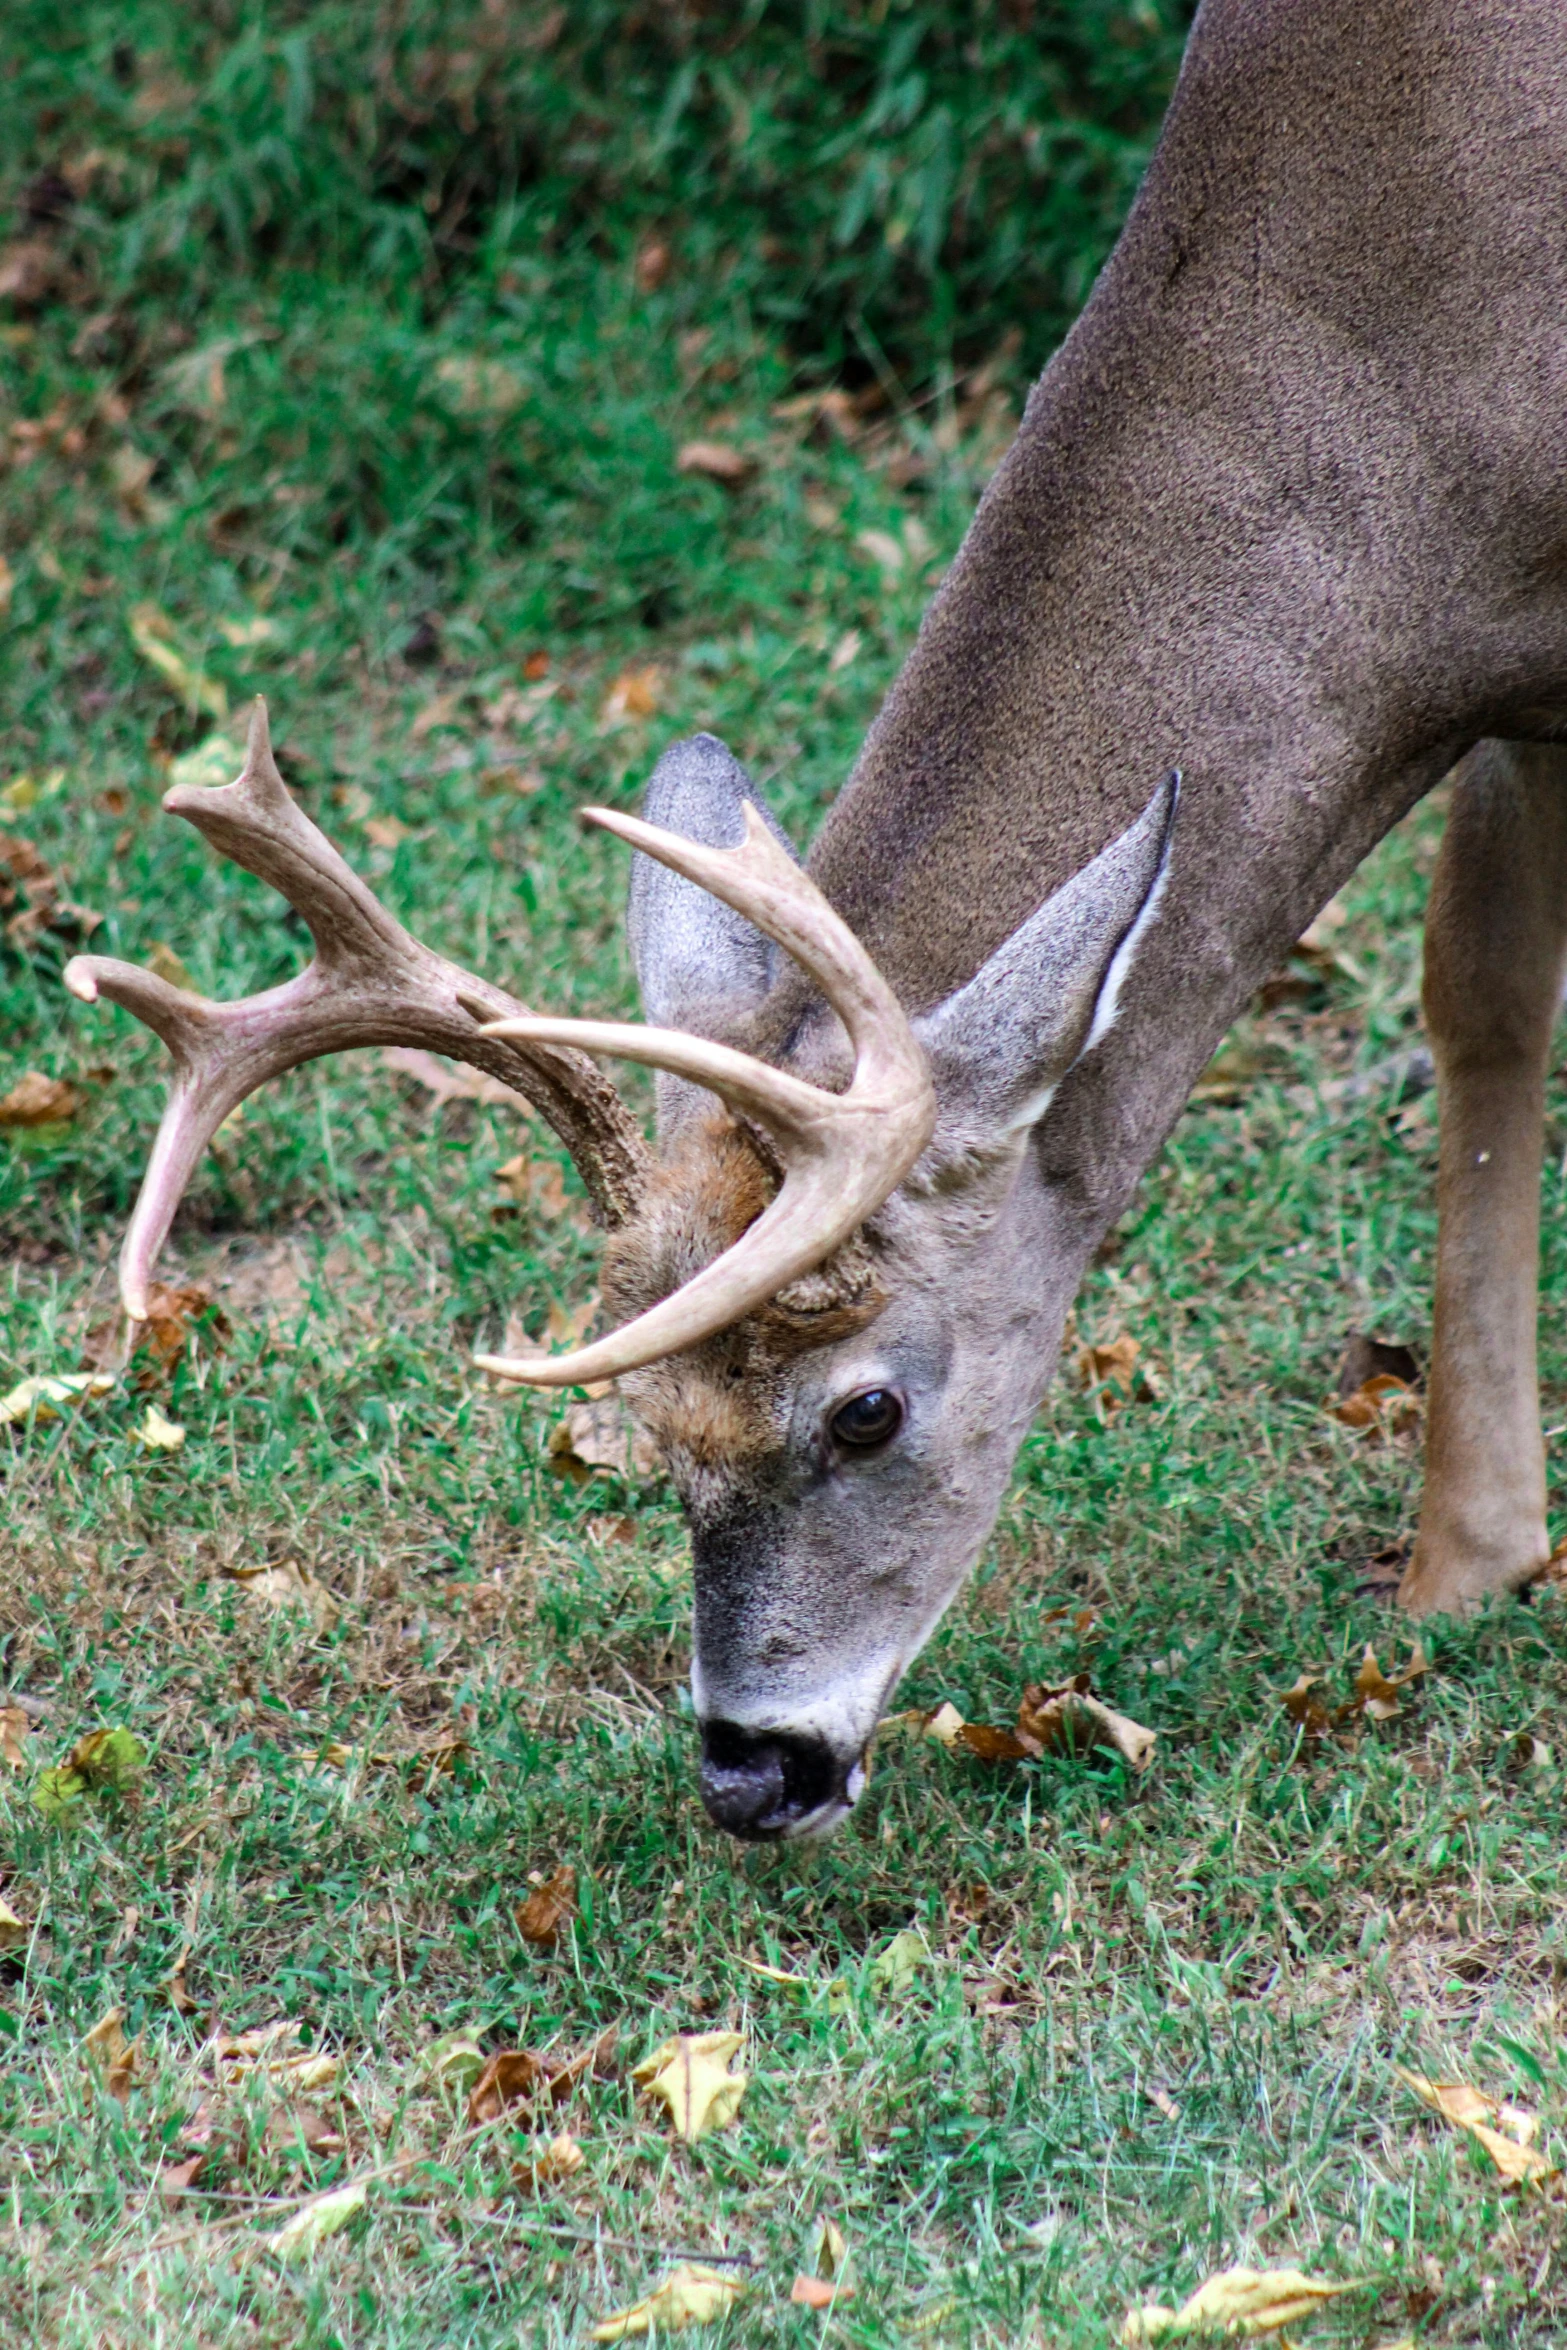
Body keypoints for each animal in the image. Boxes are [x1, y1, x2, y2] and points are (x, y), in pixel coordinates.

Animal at [67, 0, 1567, 1832]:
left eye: (863, 1412)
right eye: (644, 1415)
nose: (749, 1769)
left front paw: (1468, 1559)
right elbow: (1478, 989)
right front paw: (1463, 1564)